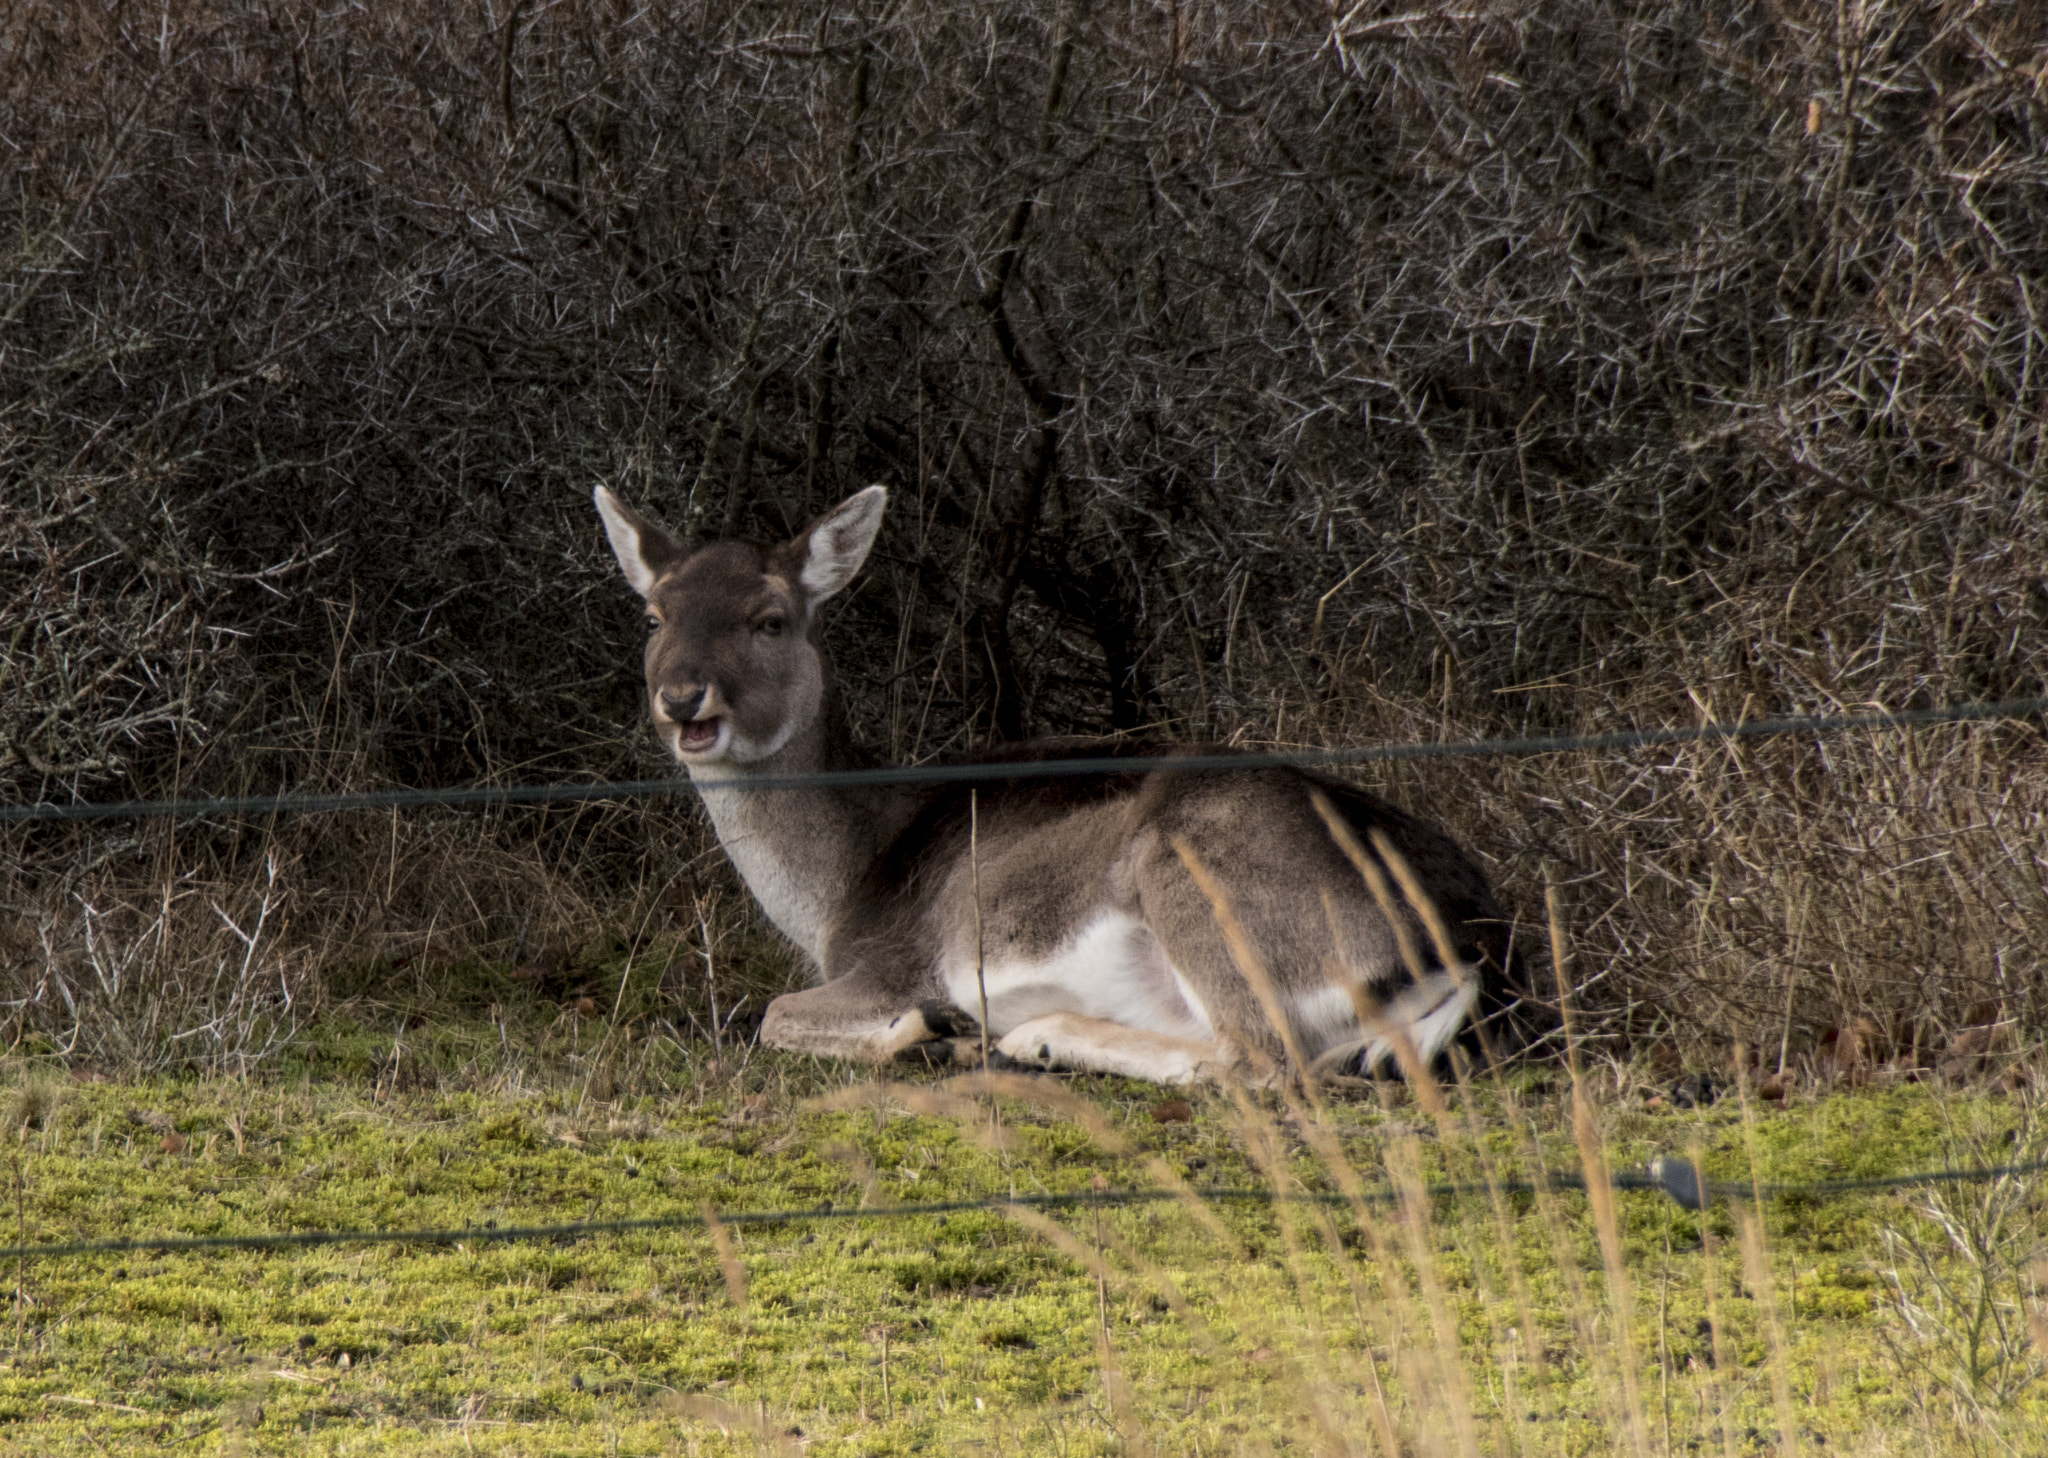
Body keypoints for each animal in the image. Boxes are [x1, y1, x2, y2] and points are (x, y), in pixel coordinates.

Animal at [594, 484, 1530, 1086]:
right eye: (654, 615)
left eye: (771, 620)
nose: (683, 697)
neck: (841, 886)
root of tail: (1473, 945)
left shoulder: (894, 960)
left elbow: (772, 1014)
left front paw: (931, 1031)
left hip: (1195, 872)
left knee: (1265, 1062)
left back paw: (1013, 1036)